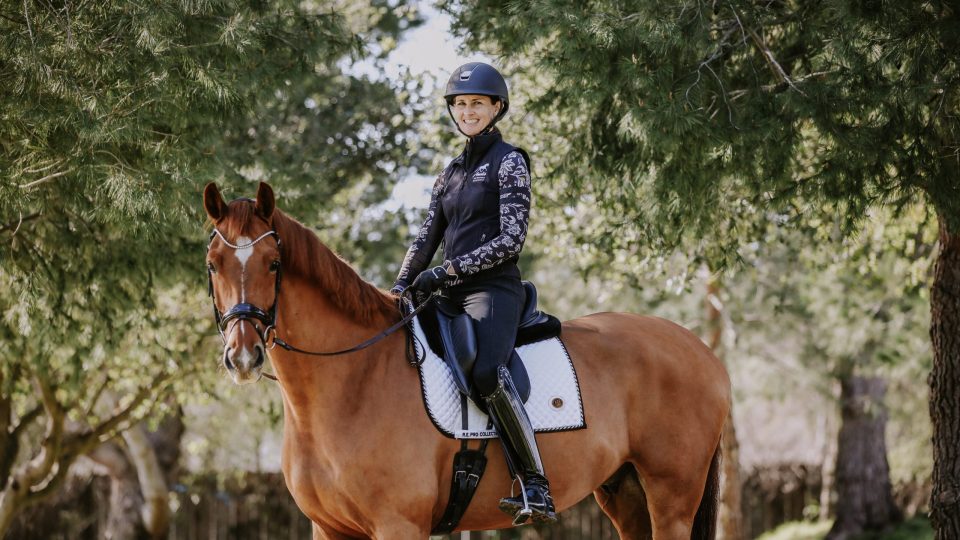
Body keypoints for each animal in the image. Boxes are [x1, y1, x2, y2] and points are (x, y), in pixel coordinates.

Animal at [202, 181, 730, 539]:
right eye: (213, 265)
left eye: (273, 263)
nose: (243, 355)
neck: (353, 384)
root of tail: (701, 350)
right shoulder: (329, 529)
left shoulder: (399, 525)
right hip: (626, 493)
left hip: (672, 497)